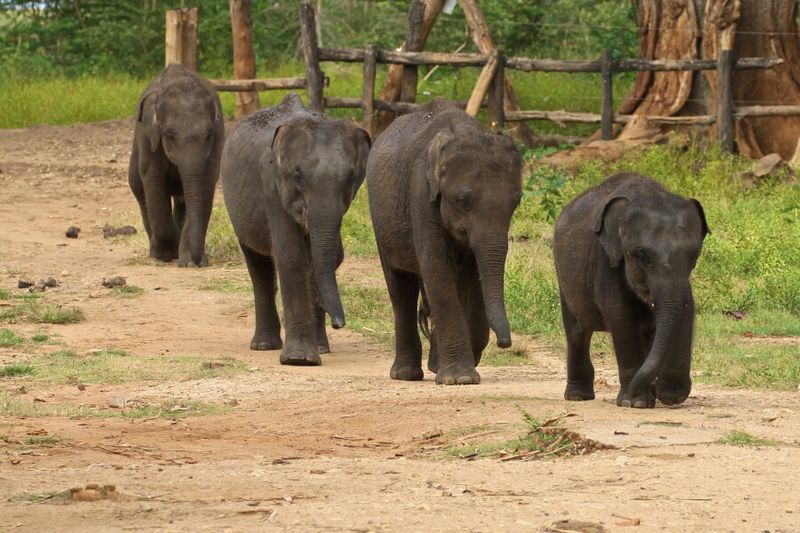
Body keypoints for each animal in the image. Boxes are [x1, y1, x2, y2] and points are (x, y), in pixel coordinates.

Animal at [128, 64, 223, 268]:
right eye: (169, 134)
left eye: (209, 134)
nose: (198, 261)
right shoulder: (148, 138)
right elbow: (154, 183)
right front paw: (166, 254)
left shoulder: (218, 138)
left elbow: (205, 185)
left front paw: (190, 262)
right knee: (142, 195)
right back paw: (156, 251)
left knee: (182, 202)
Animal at [222, 92, 372, 366]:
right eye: (298, 176)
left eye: (350, 178)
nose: (339, 324)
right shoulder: (272, 184)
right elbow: (291, 255)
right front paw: (300, 360)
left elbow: (324, 257)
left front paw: (315, 351)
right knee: (258, 266)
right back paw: (263, 346)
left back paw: (320, 347)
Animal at [366, 98, 520, 382]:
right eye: (462, 200)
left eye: (517, 202)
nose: (505, 343)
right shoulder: (420, 193)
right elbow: (436, 267)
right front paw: (459, 379)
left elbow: (473, 273)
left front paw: (454, 370)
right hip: (381, 222)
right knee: (400, 287)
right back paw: (406, 374)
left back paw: (434, 365)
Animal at [552, 172, 708, 406]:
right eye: (640, 255)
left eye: (694, 255)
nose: (660, 392)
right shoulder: (606, 260)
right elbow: (620, 315)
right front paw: (636, 402)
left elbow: (686, 309)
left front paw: (670, 396)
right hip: (564, 277)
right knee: (577, 333)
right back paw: (578, 397)